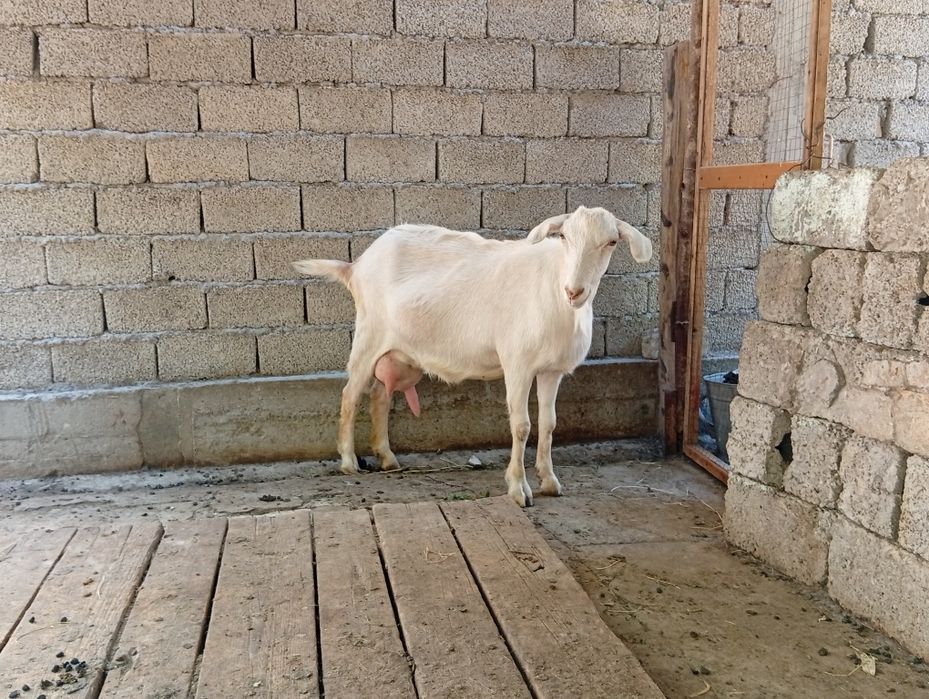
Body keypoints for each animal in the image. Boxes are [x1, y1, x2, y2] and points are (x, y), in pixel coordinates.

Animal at [293, 206, 652, 507]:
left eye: (611, 242)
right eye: (563, 237)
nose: (574, 291)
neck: (554, 293)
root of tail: (355, 266)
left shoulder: (551, 370)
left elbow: (549, 424)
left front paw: (550, 481)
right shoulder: (518, 363)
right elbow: (521, 426)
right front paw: (518, 488)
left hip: (397, 350)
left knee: (380, 396)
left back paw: (387, 458)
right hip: (369, 334)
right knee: (350, 395)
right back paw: (348, 462)